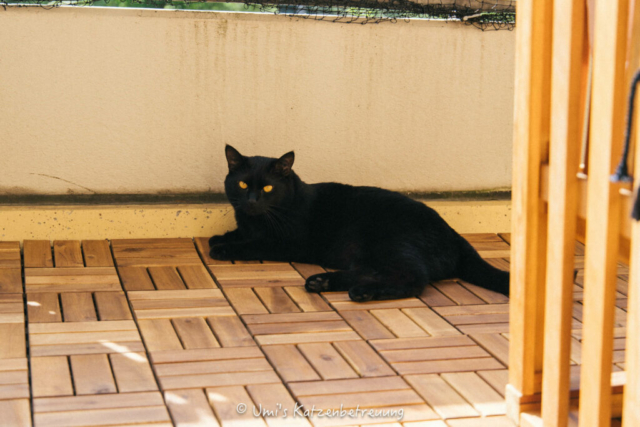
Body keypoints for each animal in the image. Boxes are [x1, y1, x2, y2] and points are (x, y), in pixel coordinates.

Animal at [210, 145, 510, 302]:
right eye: (242, 184)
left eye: (268, 188)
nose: (251, 201)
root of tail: (455, 234)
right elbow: (239, 233)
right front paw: (221, 237)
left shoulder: (286, 242)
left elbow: (254, 244)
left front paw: (223, 248)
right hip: (367, 252)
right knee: (373, 271)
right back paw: (322, 282)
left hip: (390, 241)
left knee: (413, 278)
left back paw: (361, 293)